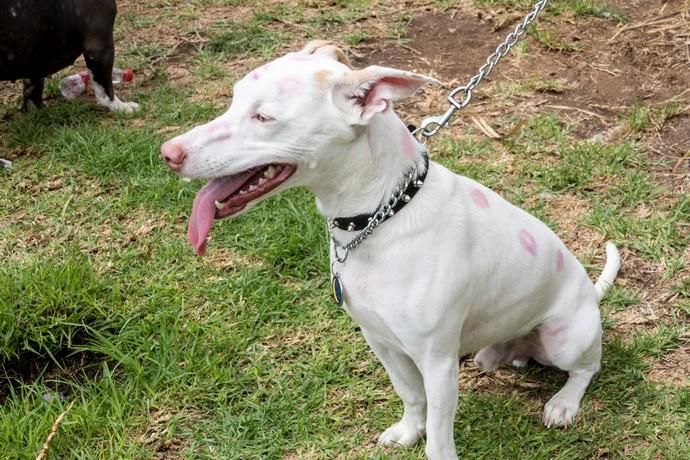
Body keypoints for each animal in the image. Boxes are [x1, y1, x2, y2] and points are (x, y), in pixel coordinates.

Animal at [0, 0, 137, 111]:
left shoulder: (34, 57)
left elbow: (32, 86)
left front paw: (35, 110)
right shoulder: (99, 47)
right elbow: (105, 90)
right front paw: (120, 107)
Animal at [160, 41, 620, 458]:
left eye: (264, 117)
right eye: (233, 99)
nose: (168, 153)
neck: (381, 217)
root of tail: (589, 294)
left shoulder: (436, 362)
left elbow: (439, 436)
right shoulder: (380, 340)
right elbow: (410, 395)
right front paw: (408, 431)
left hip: (566, 338)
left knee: (587, 367)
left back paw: (563, 403)